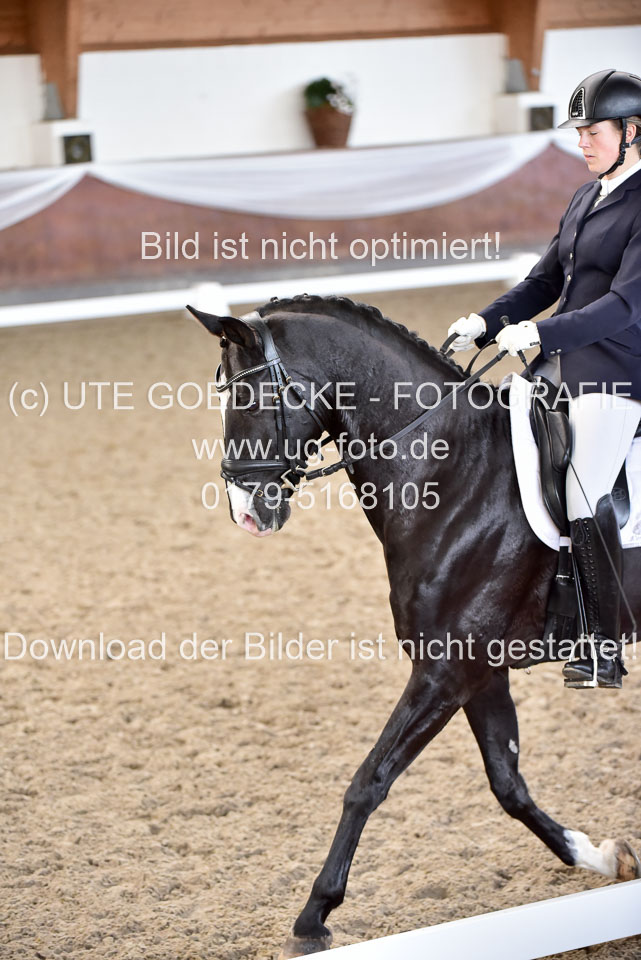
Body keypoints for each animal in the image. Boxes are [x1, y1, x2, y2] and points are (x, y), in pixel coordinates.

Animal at [188, 293, 641, 958]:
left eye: (249, 398)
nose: (245, 511)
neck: (456, 477)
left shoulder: (445, 673)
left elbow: (369, 780)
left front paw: (313, 916)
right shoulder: (479, 673)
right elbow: (508, 782)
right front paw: (601, 856)